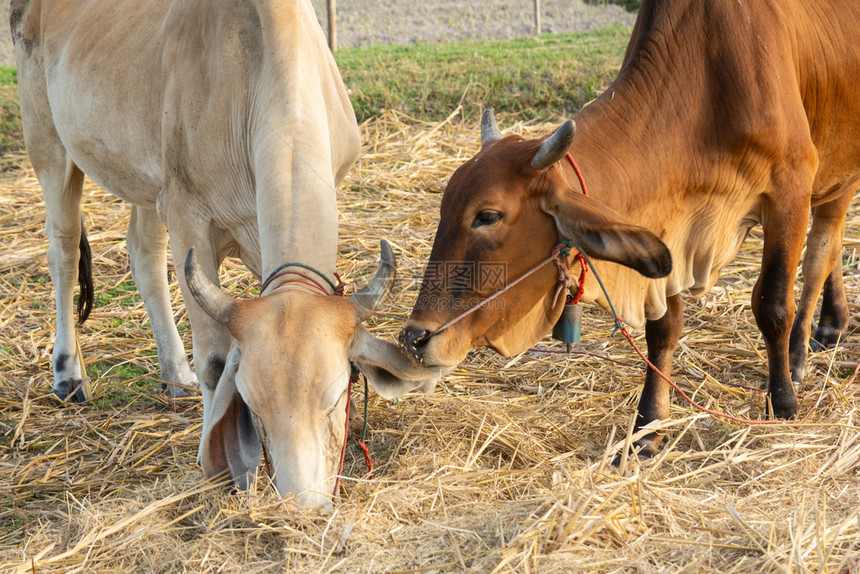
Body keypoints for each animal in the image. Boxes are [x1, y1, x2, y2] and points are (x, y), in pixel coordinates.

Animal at [11, 0, 444, 506]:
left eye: (338, 395)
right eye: (251, 405)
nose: (303, 506)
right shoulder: (188, 215)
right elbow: (215, 362)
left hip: (149, 187)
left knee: (143, 253)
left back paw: (174, 373)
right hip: (48, 142)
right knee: (62, 250)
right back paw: (68, 375)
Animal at [400, 0, 860, 460]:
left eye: (487, 215)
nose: (414, 338)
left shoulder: (790, 188)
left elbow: (773, 304)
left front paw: (782, 402)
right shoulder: (669, 232)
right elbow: (663, 329)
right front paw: (649, 426)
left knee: (820, 252)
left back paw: (801, 354)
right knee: (831, 244)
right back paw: (832, 323)